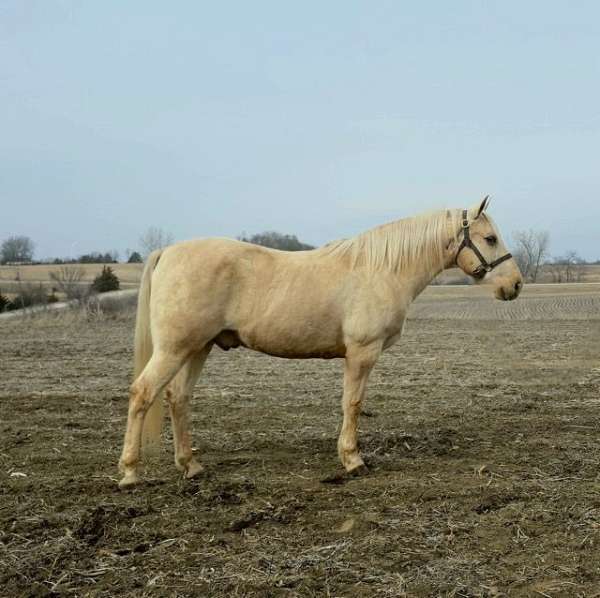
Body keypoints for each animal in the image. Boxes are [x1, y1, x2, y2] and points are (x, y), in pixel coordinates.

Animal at [117, 199, 520, 490]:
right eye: (490, 238)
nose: (514, 284)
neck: (383, 269)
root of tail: (168, 252)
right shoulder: (361, 352)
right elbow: (353, 404)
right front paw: (352, 460)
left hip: (198, 347)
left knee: (177, 398)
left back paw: (191, 466)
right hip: (175, 349)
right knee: (143, 393)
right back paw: (130, 472)